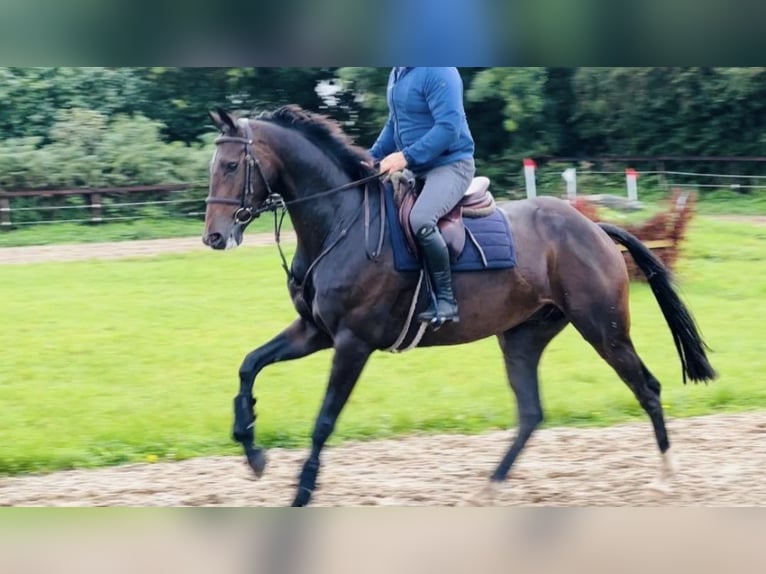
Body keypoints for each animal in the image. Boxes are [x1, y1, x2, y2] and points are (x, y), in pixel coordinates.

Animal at [202, 104, 716, 507]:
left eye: (231, 166)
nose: (214, 237)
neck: (340, 222)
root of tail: (594, 228)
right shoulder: (315, 332)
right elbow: (249, 365)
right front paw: (251, 448)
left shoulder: (352, 342)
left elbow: (324, 420)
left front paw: (302, 491)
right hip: (523, 337)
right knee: (531, 413)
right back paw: (489, 486)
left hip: (604, 331)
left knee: (647, 388)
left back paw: (667, 477)